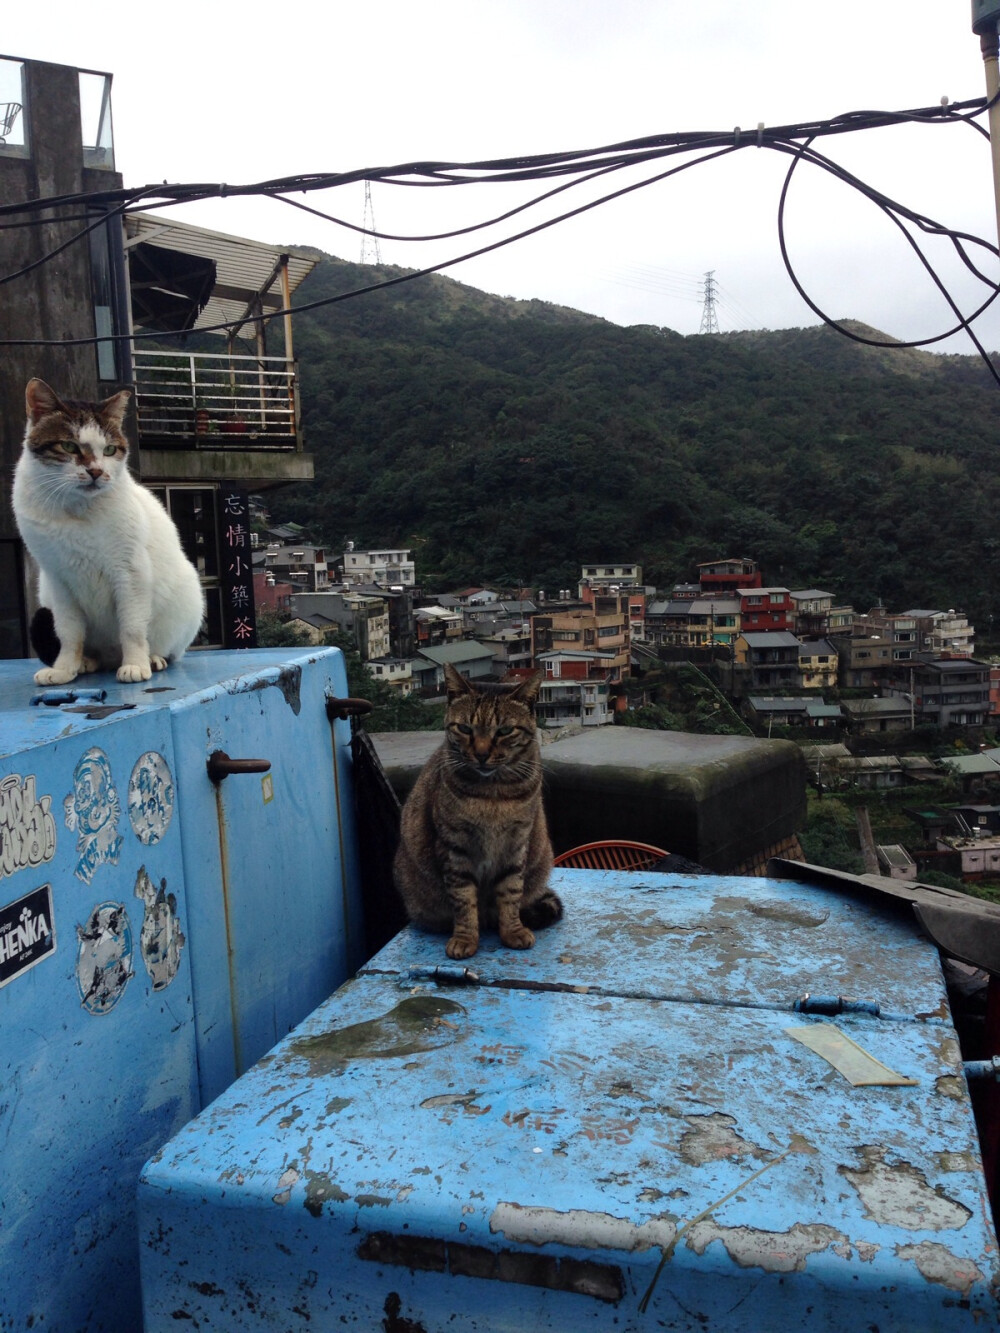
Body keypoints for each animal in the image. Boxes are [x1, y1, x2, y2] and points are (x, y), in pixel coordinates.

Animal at [12, 378, 205, 682]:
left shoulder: (130, 572)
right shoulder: (59, 580)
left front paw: (136, 664)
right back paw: (87, 662)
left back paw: (152, 658)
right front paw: (64, 668)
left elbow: (132, 627)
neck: (77, 511)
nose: (96, 472)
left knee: (166, 648)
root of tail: (110, 658)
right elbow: (69, 633)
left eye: (110, 450)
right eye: (69, 446)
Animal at [394, 663, 565, 959]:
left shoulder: (516, 844)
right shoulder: (454, 847)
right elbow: (463, 900)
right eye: (464, 728)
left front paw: (513, 931)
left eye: (505, 731)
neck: (492, 794)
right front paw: (465, 938)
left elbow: (510, 891)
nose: (482, 754)